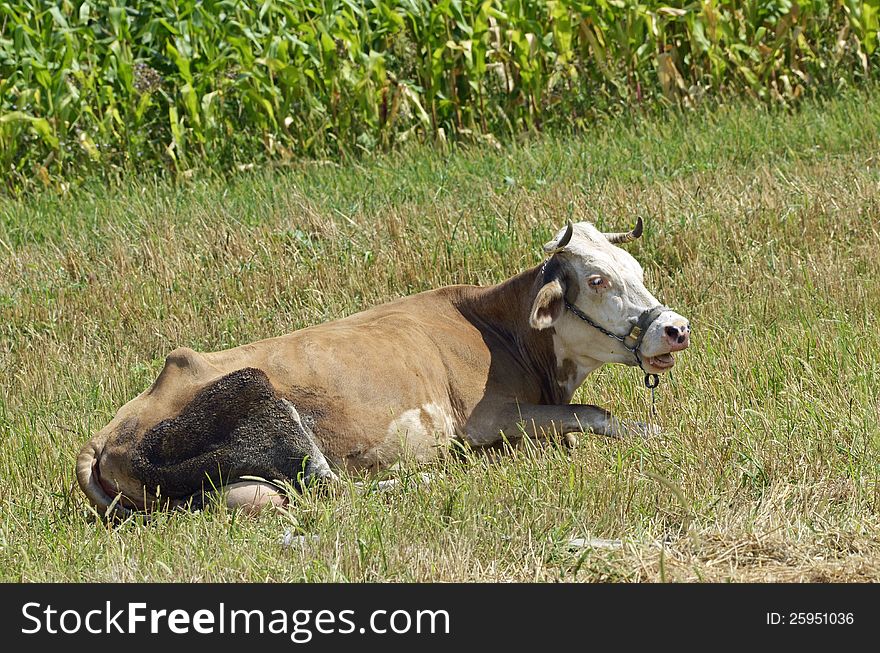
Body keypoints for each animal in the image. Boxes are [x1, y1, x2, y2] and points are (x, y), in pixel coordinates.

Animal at [75, 219, 692, 516]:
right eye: (597, 279)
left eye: (636, 268)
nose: (675, 328)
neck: (500, 328)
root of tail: (108, 433)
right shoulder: (484, 424)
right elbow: (595, 412)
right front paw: (655, 433)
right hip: (269, 408)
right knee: (331, 490)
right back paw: (424, 478)